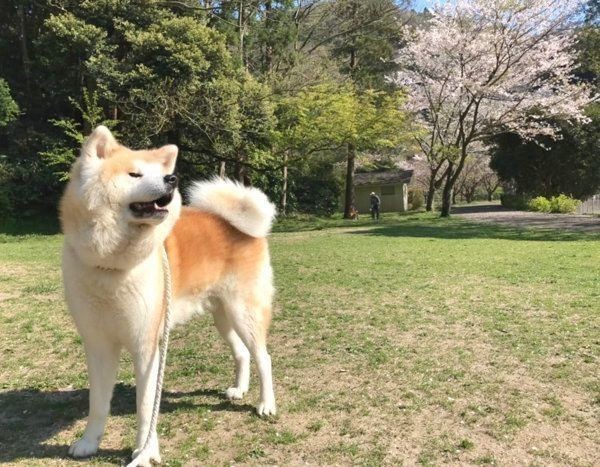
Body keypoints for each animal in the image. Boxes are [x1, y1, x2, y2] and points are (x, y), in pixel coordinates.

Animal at [61, 126, 276, 466]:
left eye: (161, 172)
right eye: (134, 174)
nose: (172, 179)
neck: (111, 265)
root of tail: (242, 227)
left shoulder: (146, 346)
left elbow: (146, 407)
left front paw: (145, 452)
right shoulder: (98, 345)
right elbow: (98, 403)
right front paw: (89, 442)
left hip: (244, 313)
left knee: (263, 357)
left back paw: (266, 404)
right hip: (223, 317)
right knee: (242, 353)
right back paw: (239, 390)